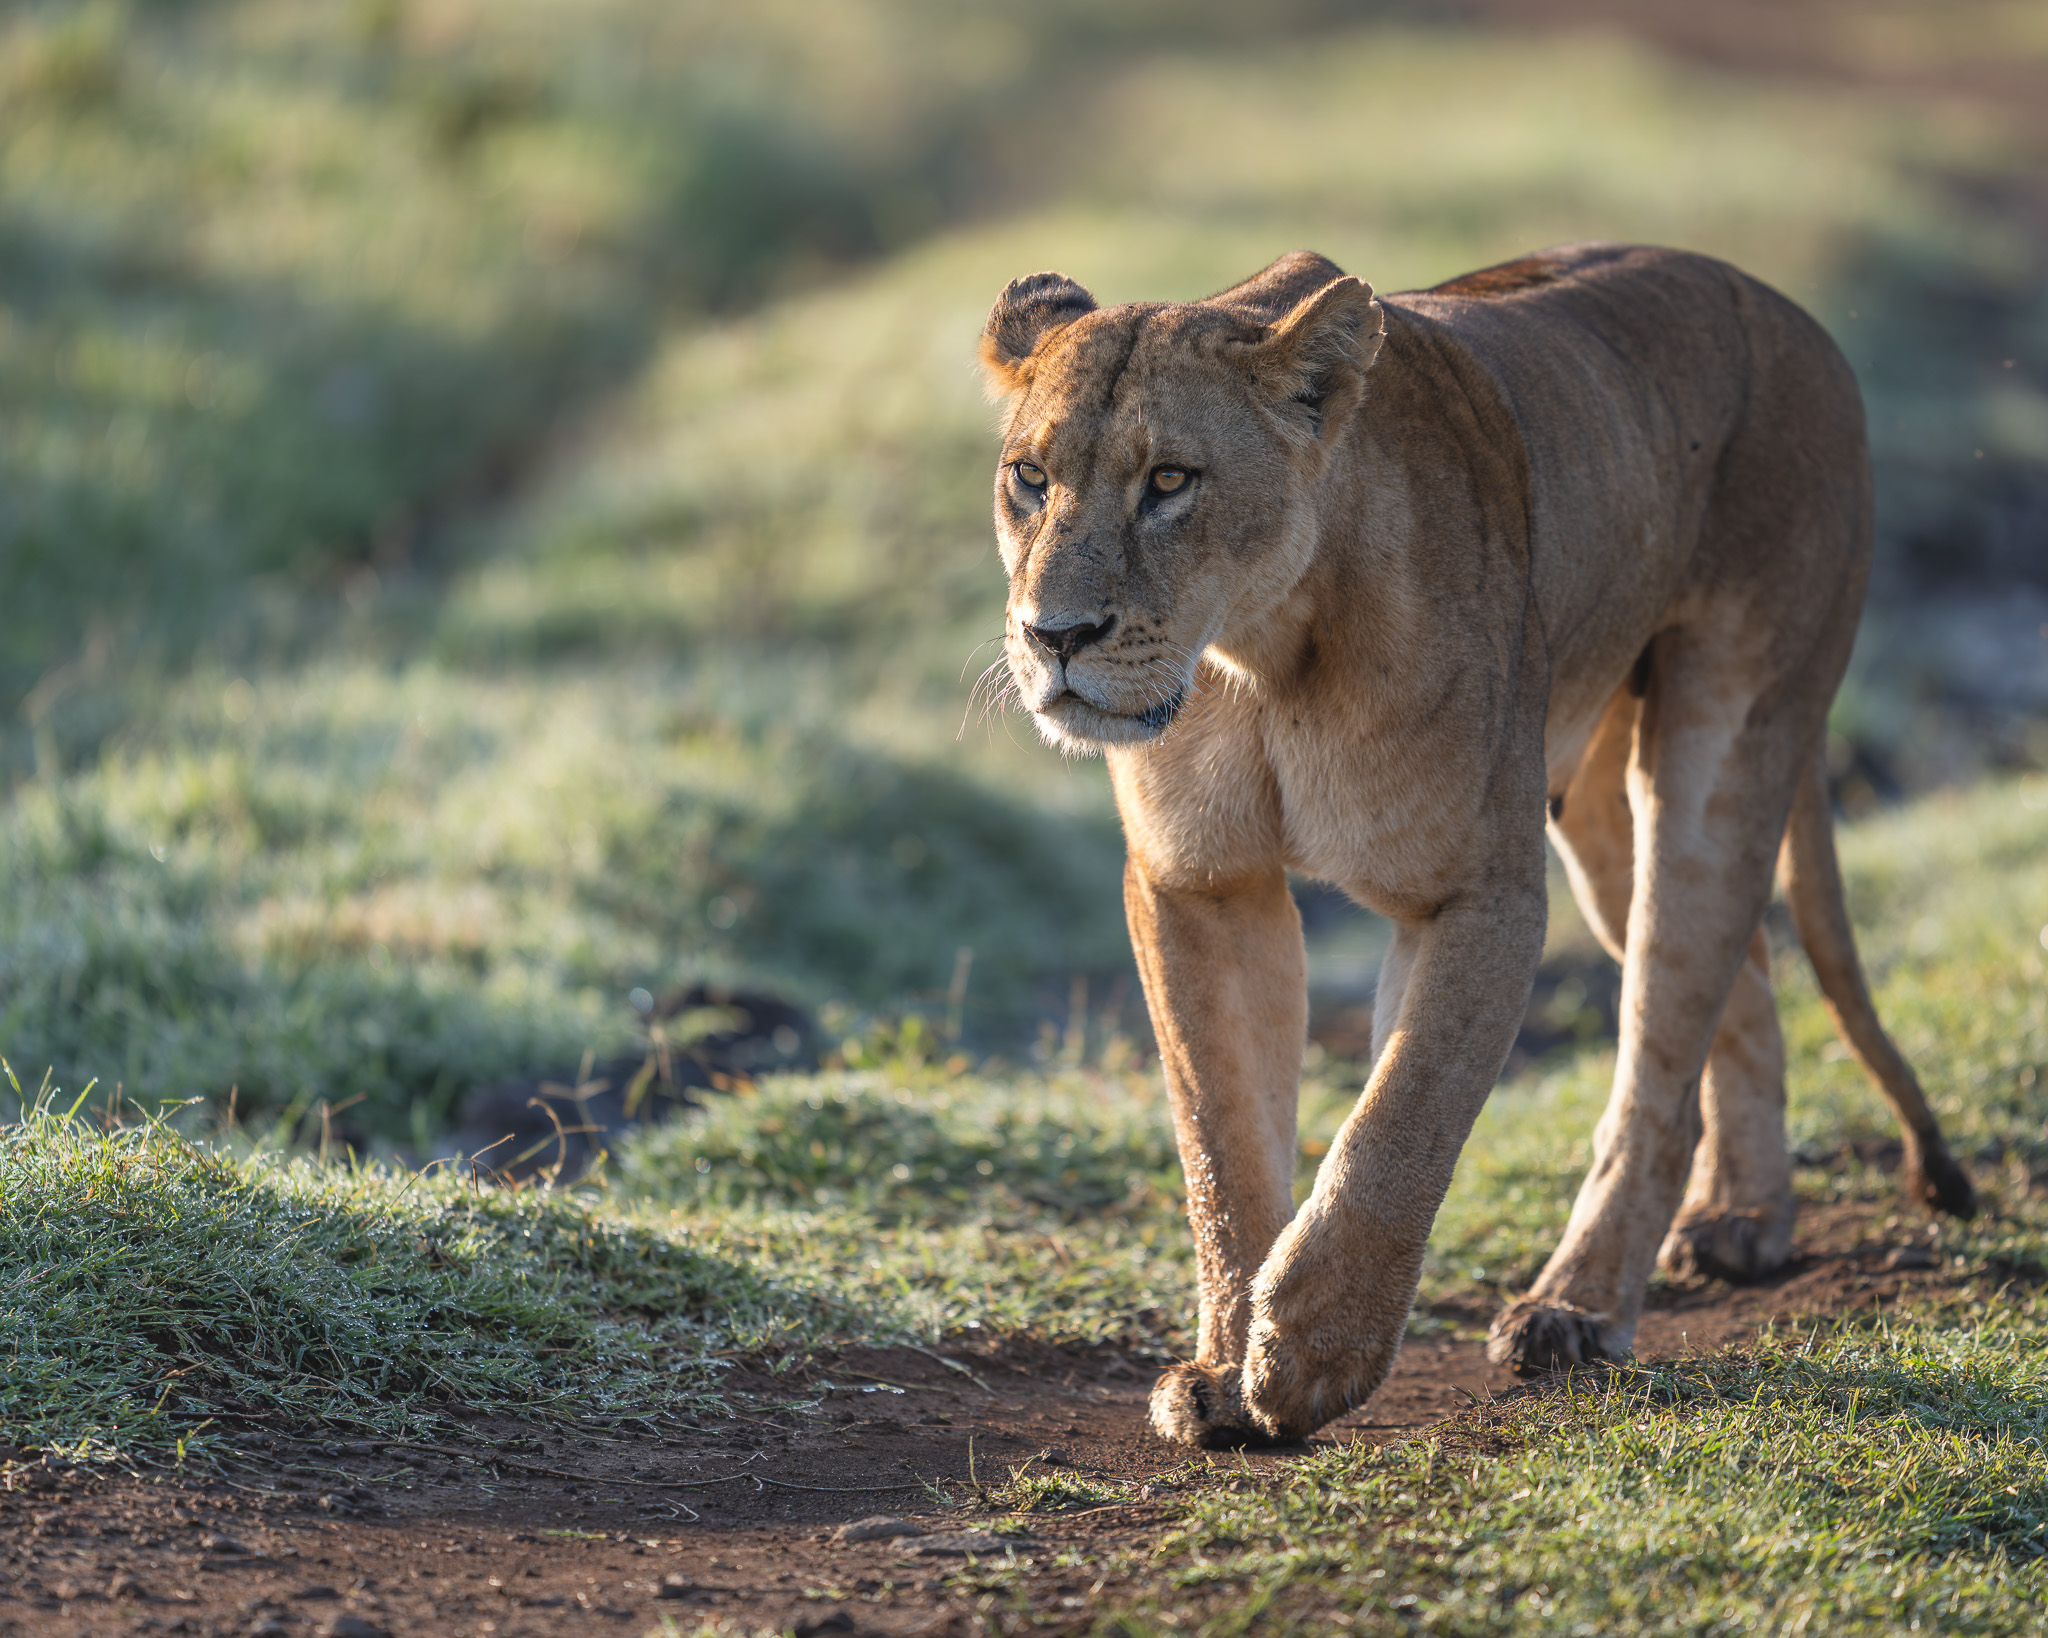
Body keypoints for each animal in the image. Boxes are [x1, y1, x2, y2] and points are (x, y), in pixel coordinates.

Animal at [975, 242, 1976, 1448]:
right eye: (1031, 478)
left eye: (1170, 481)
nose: (1054, 636)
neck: (1261, 652)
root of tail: (1792, 316)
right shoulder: (1197, 885)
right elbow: (1221, 1136)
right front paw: (1221, 1370)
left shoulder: (1476, 892)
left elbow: (1399, 1120)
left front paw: (1310, 1352)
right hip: (1596, 810)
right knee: (1737, 972)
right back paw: (1742, 1216)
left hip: (1726, 731)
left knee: (1664, 1029)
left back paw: (1575, 1307)